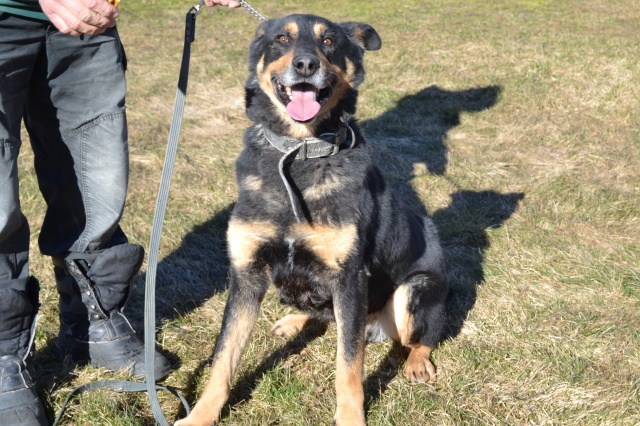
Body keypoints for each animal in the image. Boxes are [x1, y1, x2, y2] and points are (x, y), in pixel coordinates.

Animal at [175, 13, 448, 426]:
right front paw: (200, 415)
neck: (299, 153)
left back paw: (417, 362)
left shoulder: (350, 279)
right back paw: (294, 321)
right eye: (281, 39)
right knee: (323, 316)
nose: (305, 65)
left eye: (330, 41)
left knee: (419, 338)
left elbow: (347, 368)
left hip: (412, 290)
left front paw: (351, 419)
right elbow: (223, 359)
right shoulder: (246, 276)